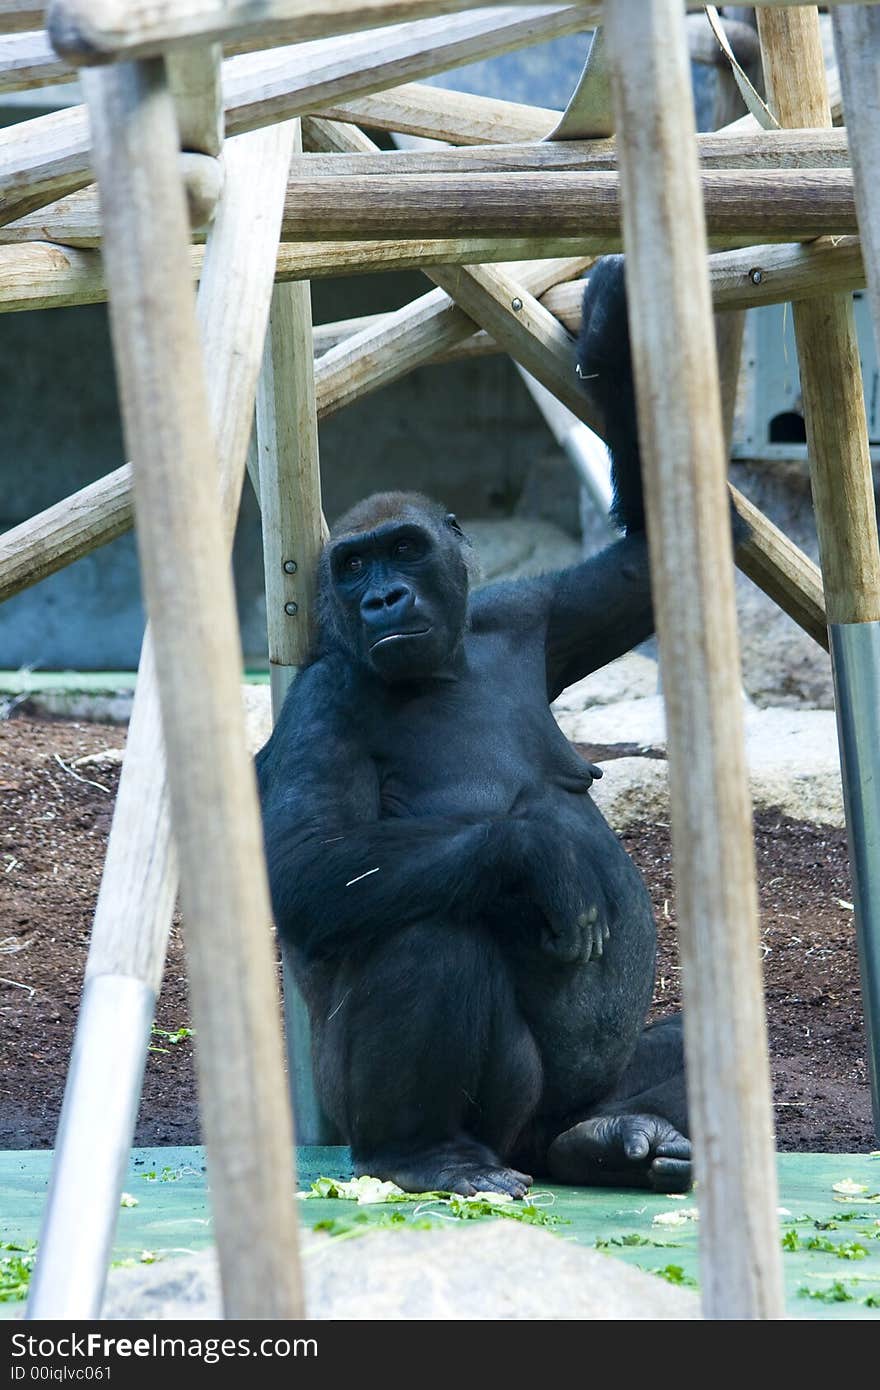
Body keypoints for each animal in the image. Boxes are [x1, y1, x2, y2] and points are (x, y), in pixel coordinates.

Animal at [255, 258, 706, 1195]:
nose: (383, 598)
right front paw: (539, 854)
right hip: (437, 1119)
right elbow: (313, 864)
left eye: (404, 550)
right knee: (431, 934)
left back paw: (615, 1137)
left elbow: (649, 557)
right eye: (352, 565)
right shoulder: (320, 700)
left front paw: (611, 323)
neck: (442, 667)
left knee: (671, 1053)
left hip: (566, 1111)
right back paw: (422, 1152)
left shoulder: (530, 611)